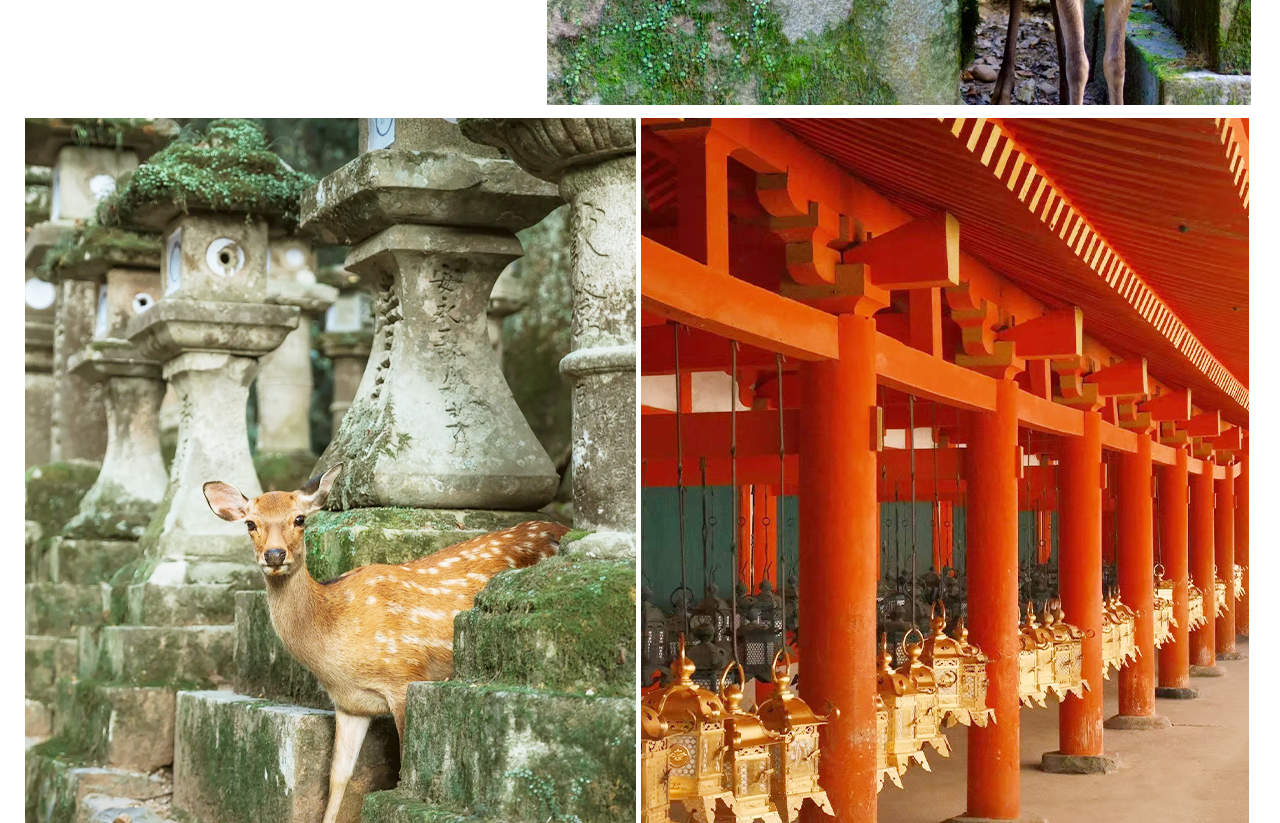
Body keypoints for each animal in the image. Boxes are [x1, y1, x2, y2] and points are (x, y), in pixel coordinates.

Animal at [202, 464, 568, 823]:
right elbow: (338, 779)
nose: (275, 555)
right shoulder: (350, 704)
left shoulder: (404, 677)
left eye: (300, 519)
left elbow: (404, 765)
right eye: (251, 523)